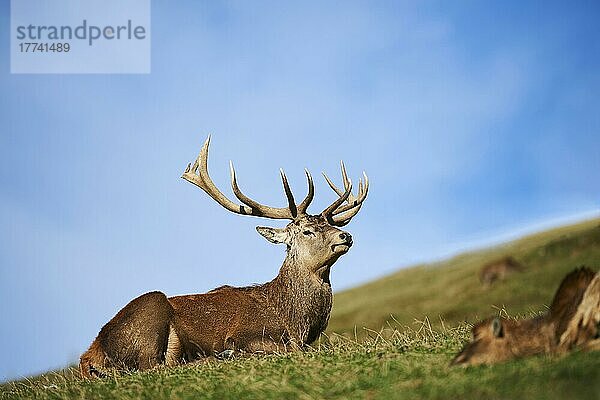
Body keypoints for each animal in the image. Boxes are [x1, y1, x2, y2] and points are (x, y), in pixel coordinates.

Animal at [77, 138, 368, 378]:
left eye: (328, 225)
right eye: (307, 230)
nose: (346, 236)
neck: (294, 320)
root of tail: (89, 357)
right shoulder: (245, 334)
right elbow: (293, 350)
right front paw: (231, 354)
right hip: (151, 308)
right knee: (153, 367)